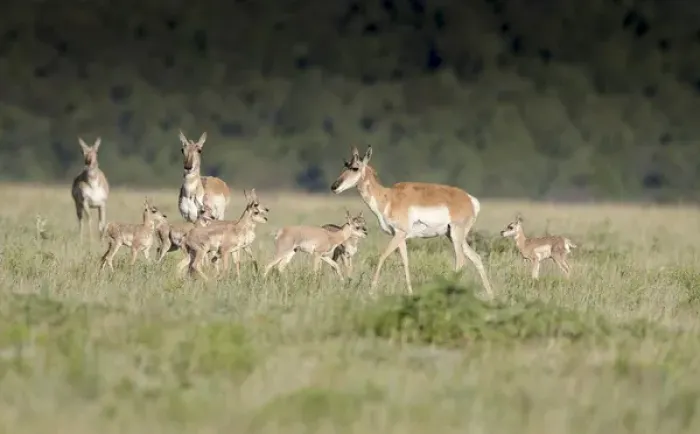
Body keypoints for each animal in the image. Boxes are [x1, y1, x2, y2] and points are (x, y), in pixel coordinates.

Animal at [329, 146, 492, 296]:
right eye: (345, 166)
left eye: (355, 168)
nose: (334, 187)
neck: (388, 197)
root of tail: (470, 199)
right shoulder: (400, 237)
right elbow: (405, 262)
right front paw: (410, 293)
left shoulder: (399, 233)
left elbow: (382, 256)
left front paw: (371, 290)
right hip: (453, 236)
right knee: (476, 258)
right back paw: (491, 296)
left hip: (456, 235)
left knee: (461, 260)